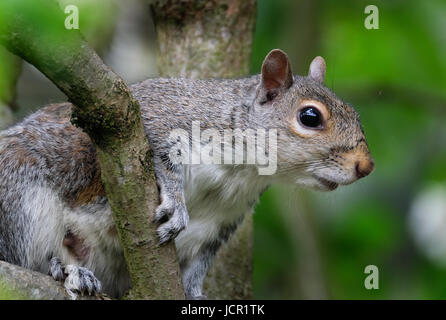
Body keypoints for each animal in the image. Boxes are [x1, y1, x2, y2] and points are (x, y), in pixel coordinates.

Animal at [0, 48, 372, 298]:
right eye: (310, 117)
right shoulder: (153, 121)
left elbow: (197, 267)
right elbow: (157, 160)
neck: (242, 171)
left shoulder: (222, 222)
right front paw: (176, 205)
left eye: (355, 113)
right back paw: (67, 271)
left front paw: (196, 294)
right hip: (20, 196)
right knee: (25, 256)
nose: (366, 166)